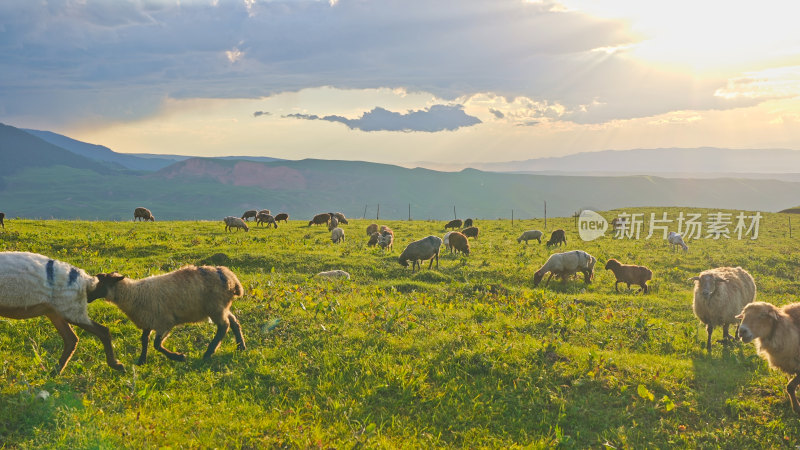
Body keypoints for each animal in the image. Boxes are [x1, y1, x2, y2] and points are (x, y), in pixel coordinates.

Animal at [94, 264, 245, 366]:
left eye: (102, 283)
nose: (89, 297)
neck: (133, 294)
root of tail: (231, 279)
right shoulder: (148, 320)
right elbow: (144, 340)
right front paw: (142, 360)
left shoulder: (165, 322)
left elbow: (157, 344)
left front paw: (179, 357)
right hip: (222, 306)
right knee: (234, 322)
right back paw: (240, 346)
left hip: (215, 306)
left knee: (224, 326)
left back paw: (209, 353)